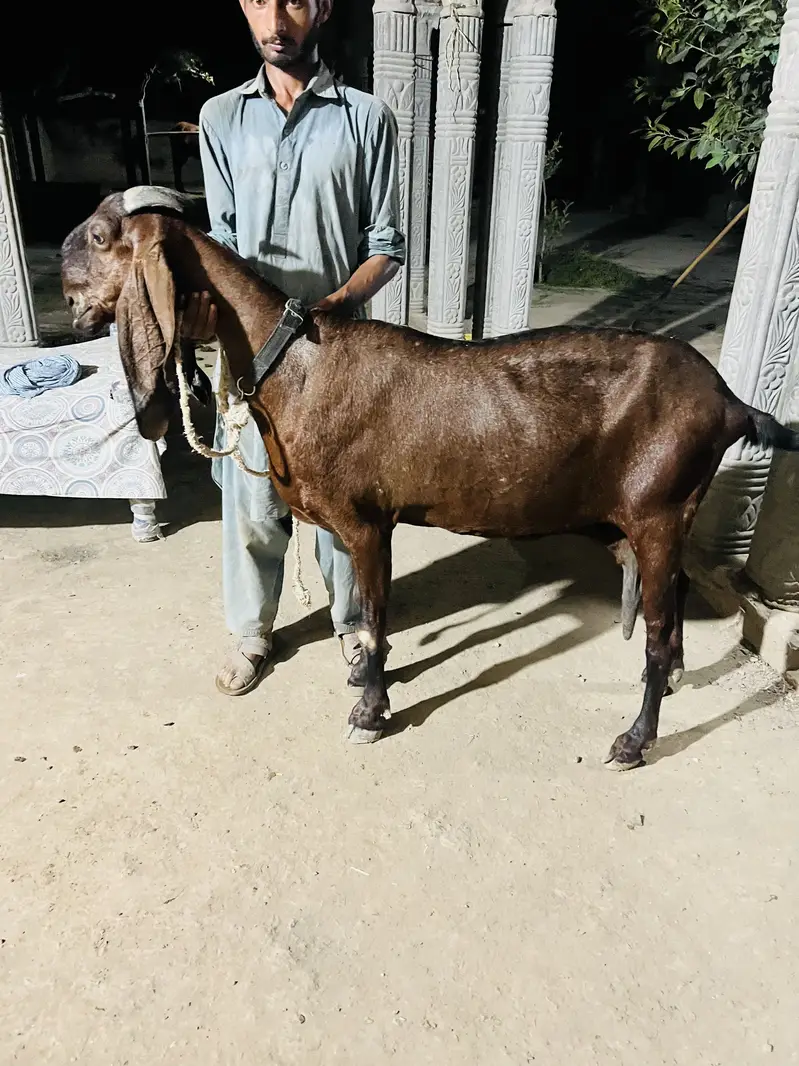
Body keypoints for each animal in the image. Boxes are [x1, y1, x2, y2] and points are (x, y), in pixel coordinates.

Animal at [61, 187, 799, 768]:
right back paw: (670, 684)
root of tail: (727, 400)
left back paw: (634, 739)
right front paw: (369, 687)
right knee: (672, 607)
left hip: (657, 512)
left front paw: (369, 711)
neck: (293, 363)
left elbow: (372, 621)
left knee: (656, 635)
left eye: (98, 236)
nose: (65, 283)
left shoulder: (366, 523)